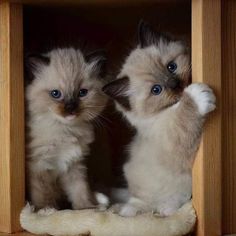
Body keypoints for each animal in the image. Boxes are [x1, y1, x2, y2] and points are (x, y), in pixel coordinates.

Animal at [25, 47, 107, 209]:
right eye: (55, 94)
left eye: (82, 93)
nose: (70, 108)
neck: (65, 130)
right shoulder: (40, 165)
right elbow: (43, 194)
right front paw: (46, 210)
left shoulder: (73, 164)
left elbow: (79, 190)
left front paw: (85, 208)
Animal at [103, 21, 216, 217]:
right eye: (156, 90)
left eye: (171, 67)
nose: (175, 85)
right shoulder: (175, 140)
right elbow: (185, 116)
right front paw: (197, 95)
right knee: (143, 203)